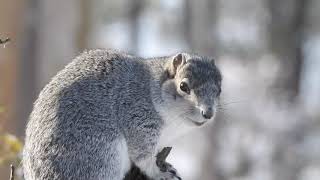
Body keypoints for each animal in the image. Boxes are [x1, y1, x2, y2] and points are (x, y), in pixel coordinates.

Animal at [23, 49, 222, 180]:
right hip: (101, 157)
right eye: (183, 86)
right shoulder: (138, 118)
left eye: (219, 90)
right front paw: (160, 173)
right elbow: (143, 158)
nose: (208, 113)